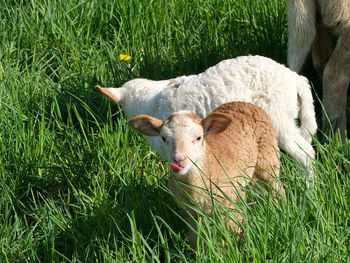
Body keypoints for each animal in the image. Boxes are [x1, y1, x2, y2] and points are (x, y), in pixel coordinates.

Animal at [129, 102, 284, 251]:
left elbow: (229, 236)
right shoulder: (188, 211)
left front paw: (231, 251)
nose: (178, 160)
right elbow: (194, 238)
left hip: (268, 157)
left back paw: (280, 209)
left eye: (199, 138)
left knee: (276, 185)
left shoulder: (230, 204)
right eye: (163, 138)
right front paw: (197, 254)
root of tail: (246, 103)